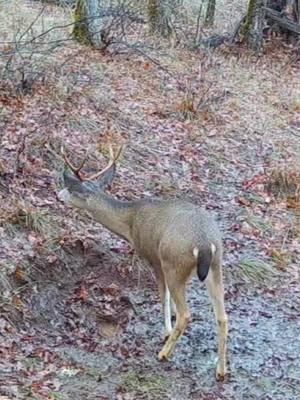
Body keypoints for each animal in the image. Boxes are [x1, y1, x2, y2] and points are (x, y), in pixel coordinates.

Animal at [57, 145, 229, 382]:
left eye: (71, 189)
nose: (58, 195)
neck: (130, 222)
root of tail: (204, 243)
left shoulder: (153, 257)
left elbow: (163, 296)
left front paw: (166, 330)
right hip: (216, 265)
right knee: (222, 316)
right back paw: (221, 371)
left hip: (174, 262)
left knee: (186, 314)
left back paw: (164, 353)